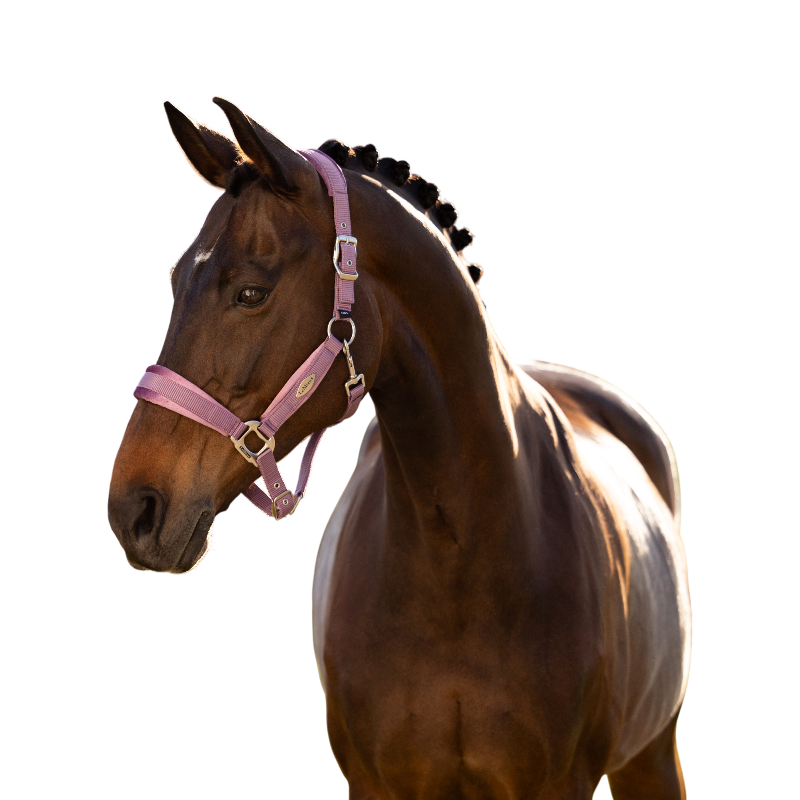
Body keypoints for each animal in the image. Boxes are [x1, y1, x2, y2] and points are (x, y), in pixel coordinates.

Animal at [107, 97, 691, 799]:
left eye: (251, 291)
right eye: (174, 280)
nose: (134, 508)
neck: (459, 562)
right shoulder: (376, 783)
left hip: (650, 757)